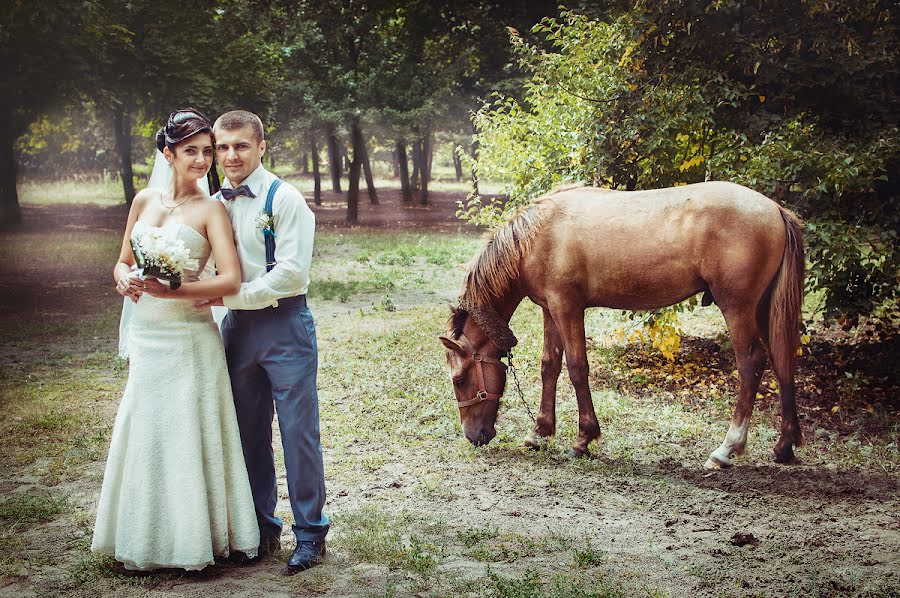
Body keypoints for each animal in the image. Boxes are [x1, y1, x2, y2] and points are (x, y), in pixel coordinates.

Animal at [440, 180, 804, 472]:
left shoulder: (567, 308)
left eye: (459, 379)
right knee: (782, 360)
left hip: (738, 308)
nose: (472, 436)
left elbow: (577, 368)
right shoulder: (549, 309)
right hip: (763, 308)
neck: (538, 236)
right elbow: (549, 367)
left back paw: (727, 449)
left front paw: (583, 439)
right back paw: (785, 445)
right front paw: (539, 433)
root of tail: (775, 209)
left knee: (751, 364)